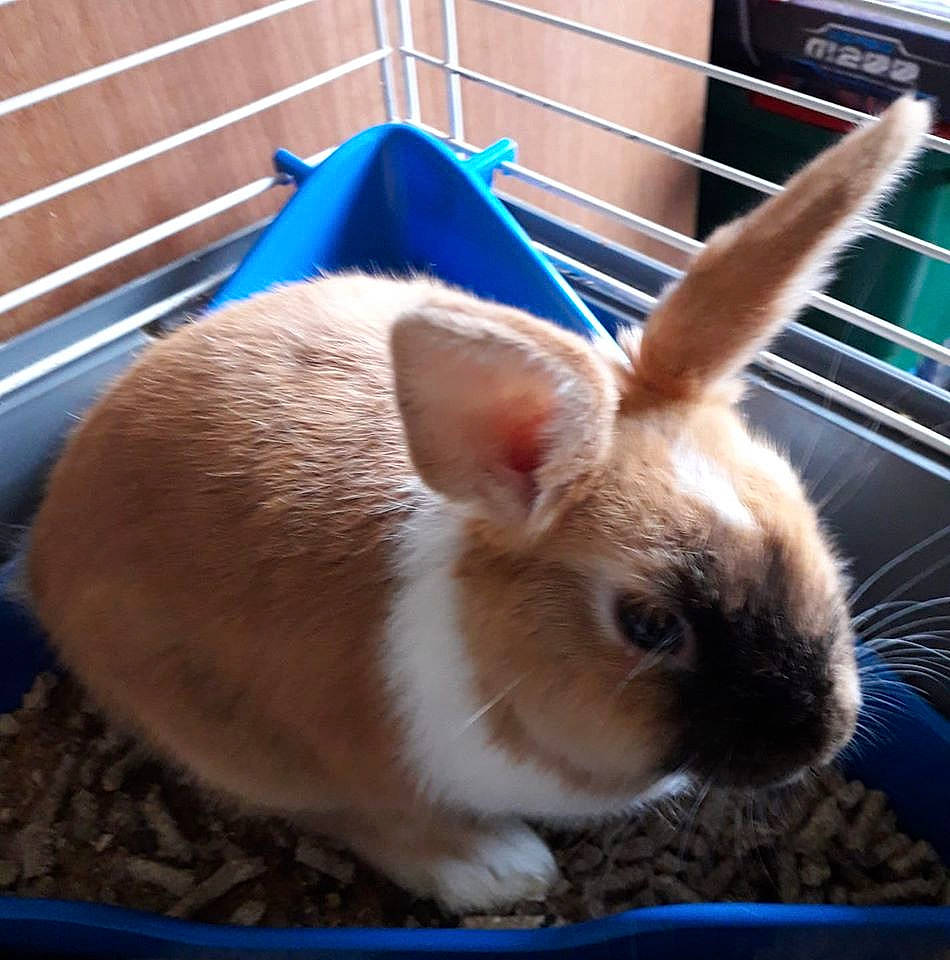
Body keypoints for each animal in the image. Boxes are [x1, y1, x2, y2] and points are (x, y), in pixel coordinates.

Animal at [24, 97, 930, 911]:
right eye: (647, 624)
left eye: (803, 516)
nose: (823, 734)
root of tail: (43, 549)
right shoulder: (324, 750)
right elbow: (374, 818)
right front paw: (498, 871)